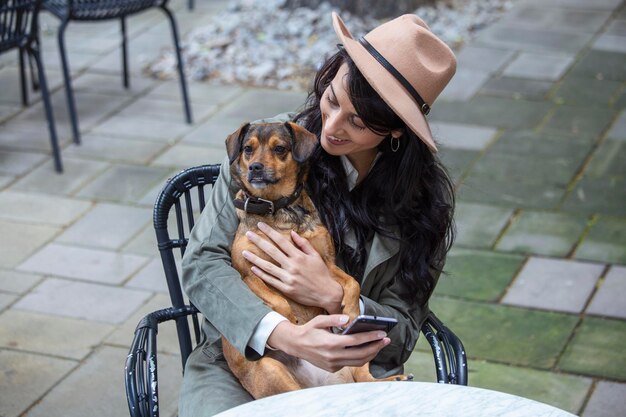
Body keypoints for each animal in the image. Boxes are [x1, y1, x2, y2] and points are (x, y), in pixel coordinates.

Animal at [222, 120, 408, 396]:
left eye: (280, 148)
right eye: (248, 149)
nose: (255, 167)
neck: (279, 210)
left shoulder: (325, 263)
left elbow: (352, 282)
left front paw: (351, 309)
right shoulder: (247, 274)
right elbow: (278, 302)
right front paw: (290, 321)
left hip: (357, 355)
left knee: (364, 378)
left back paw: (395, 380)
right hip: (271, 370)